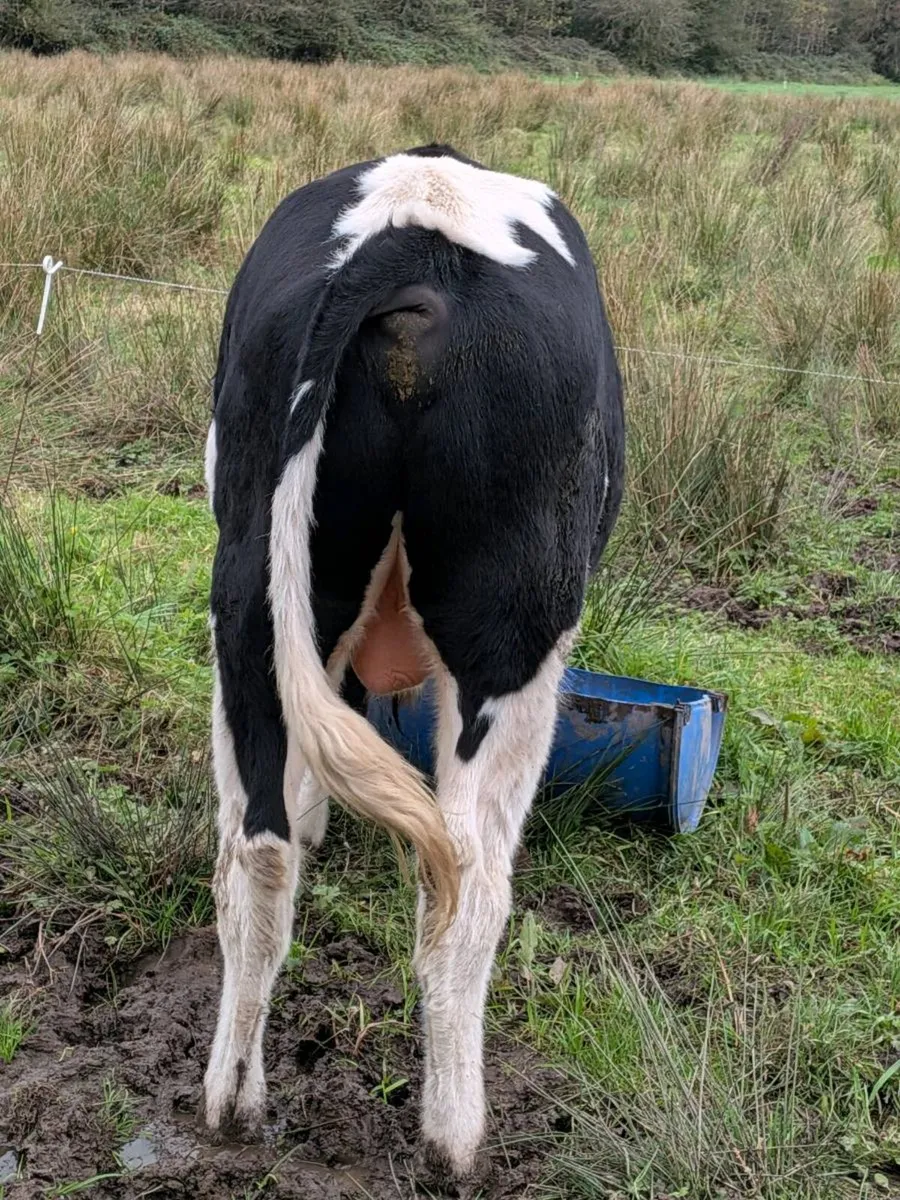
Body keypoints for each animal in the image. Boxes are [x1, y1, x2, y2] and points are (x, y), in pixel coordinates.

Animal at [203, 143, 624, 1180]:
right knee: (469, 881)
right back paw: (455, 1137)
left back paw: (232, 1100)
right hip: (516, 631)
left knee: (257, 853)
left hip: (249, 595)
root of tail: (411, 233)